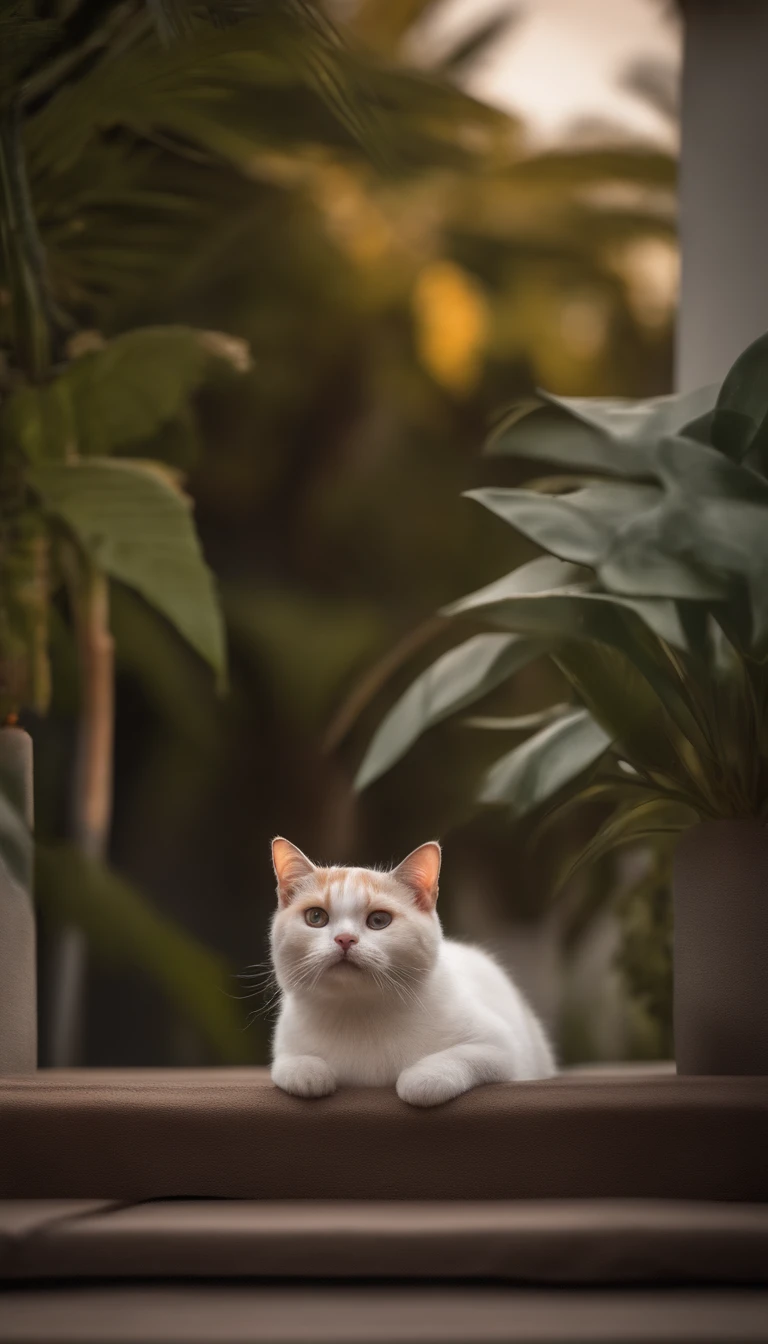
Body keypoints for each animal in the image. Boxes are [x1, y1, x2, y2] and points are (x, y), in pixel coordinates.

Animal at [267, 833, 556, 1107]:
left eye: (379, 920)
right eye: (316, 917)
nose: (345, 939)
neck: (359, 1011)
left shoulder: (502, 1047)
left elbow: (461, 1057)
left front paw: (424, 1078)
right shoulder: (285, 1046)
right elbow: (288, 1065)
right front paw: (308, 1070)